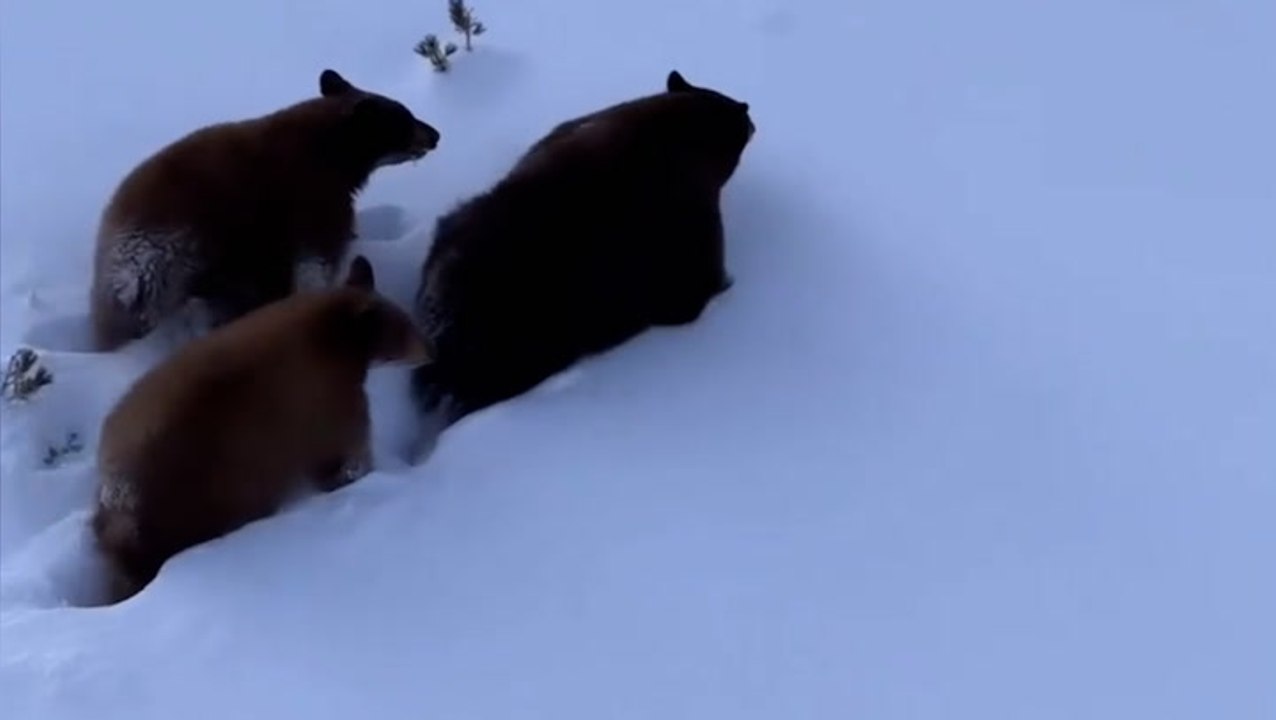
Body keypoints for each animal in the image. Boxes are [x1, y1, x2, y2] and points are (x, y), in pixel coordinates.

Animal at [89, 68, 440, 352]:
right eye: (404, 118)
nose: (435, 134)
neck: (328, 148)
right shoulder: (310, 198)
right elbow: (316, 261)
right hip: (171, 265)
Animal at [90, 255, 432, 604]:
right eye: (404, 328)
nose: (430, 350)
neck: (332, 337)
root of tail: (121, 495)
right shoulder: (328, 404)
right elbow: (347, 454)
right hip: (203, 498)